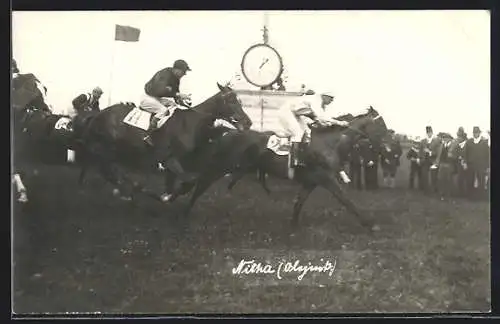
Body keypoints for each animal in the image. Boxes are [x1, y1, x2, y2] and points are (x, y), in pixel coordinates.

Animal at [182, 105, 388, 230]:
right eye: (381, 124)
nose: (387, 147)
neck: (330, 143)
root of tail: (227, 132)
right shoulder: (328, 179)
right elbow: (347, 201)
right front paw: (369, 224)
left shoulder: (311, 182)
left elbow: (298, 203)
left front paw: (293, 225)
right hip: (222, 165)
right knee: (202, 182)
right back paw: (185, 210)